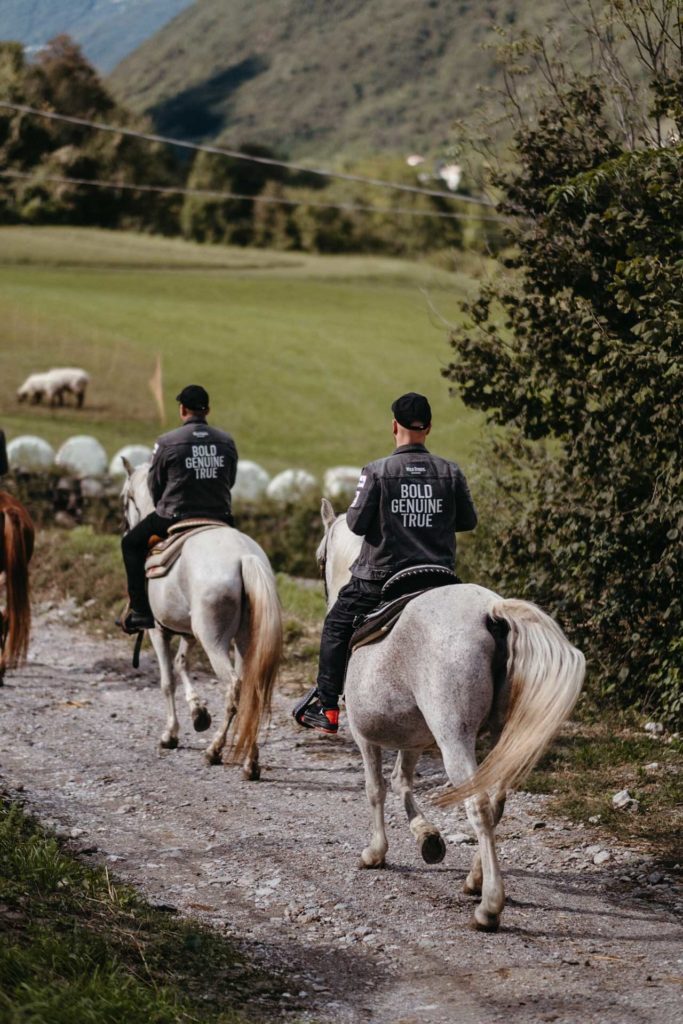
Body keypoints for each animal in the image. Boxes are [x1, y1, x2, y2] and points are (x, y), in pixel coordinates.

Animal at [121, 461, 282, 780]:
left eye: (124, 500)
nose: (126, 527)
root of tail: (245, 558)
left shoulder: (159, 631)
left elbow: (167, 680)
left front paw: (170, 734)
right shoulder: (187, 632)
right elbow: (182, 663)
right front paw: (198, 712)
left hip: (213, 639)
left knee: (234, 689)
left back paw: (214, 751)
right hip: (242, 640)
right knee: (252, 691)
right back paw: (250, 762)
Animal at [316, 498, 585, 932]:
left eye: (320, 557)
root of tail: (491, 612)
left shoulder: (364, 735)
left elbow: (376, 788)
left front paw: (376, 852)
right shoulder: (412, 737)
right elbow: (402, 782)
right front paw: (427, 836)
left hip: (454, 737)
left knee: (478, 805)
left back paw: (489, 905)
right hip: (500, 737)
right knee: (496, 801)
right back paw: (475, 879)